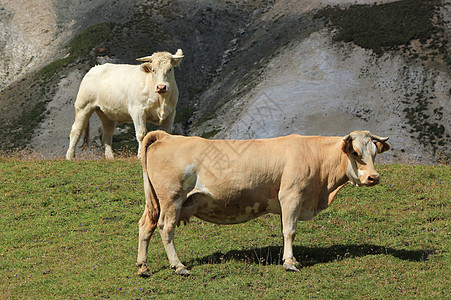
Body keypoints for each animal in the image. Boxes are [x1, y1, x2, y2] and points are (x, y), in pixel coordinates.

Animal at [136, 130, 390, 276]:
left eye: (374, 153)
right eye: (355, 152)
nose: (373, 177)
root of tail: (168, 136)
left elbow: (285, 229)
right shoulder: (291, 195)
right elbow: (290, 230)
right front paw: (289, 262)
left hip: (156, 203)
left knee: (146, 226)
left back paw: (143, 267)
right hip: (171, 199)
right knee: (166, 228)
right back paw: (178, 266)